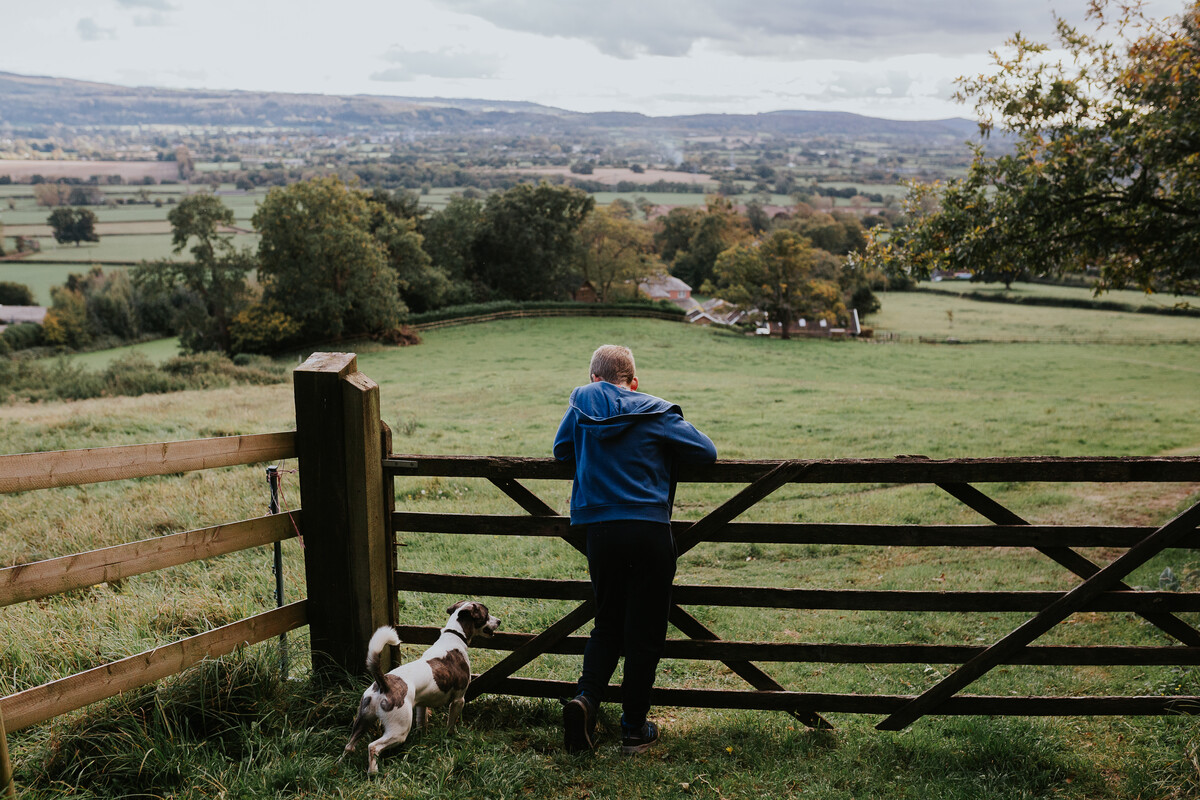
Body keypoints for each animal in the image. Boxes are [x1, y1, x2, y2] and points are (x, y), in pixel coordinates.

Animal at [345, 599, 499, 777]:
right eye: (486, 614)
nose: (499, 621)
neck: (454, 637)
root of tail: (383, 683)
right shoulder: (458, 700)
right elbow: (451, 724)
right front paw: (451, 736)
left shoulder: (421, 704)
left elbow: (422, 722)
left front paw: (422, 739)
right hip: (399, 730)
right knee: (373, 747)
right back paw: (373, 772)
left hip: (363, 720)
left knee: (349, 746)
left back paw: (342, 764)